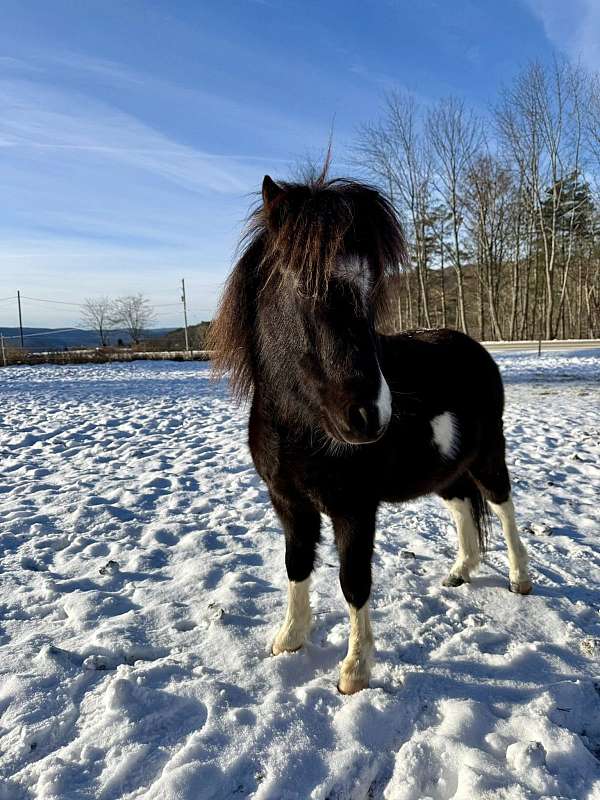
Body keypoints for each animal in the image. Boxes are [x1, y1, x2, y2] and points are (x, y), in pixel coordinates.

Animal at [209, 171, 532, 695]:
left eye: (371, 288)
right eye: (303, 282)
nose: (369, 415)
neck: (300, 426)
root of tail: (474, 348)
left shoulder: (354, 509)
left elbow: (353, 581)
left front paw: (355, 670)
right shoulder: (289, 503)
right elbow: (296, 565)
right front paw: (289, 639)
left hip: (489, 456)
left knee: (503, 507)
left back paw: (520, 578)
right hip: (446, 471)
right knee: (464, 505)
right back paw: (460, 572)